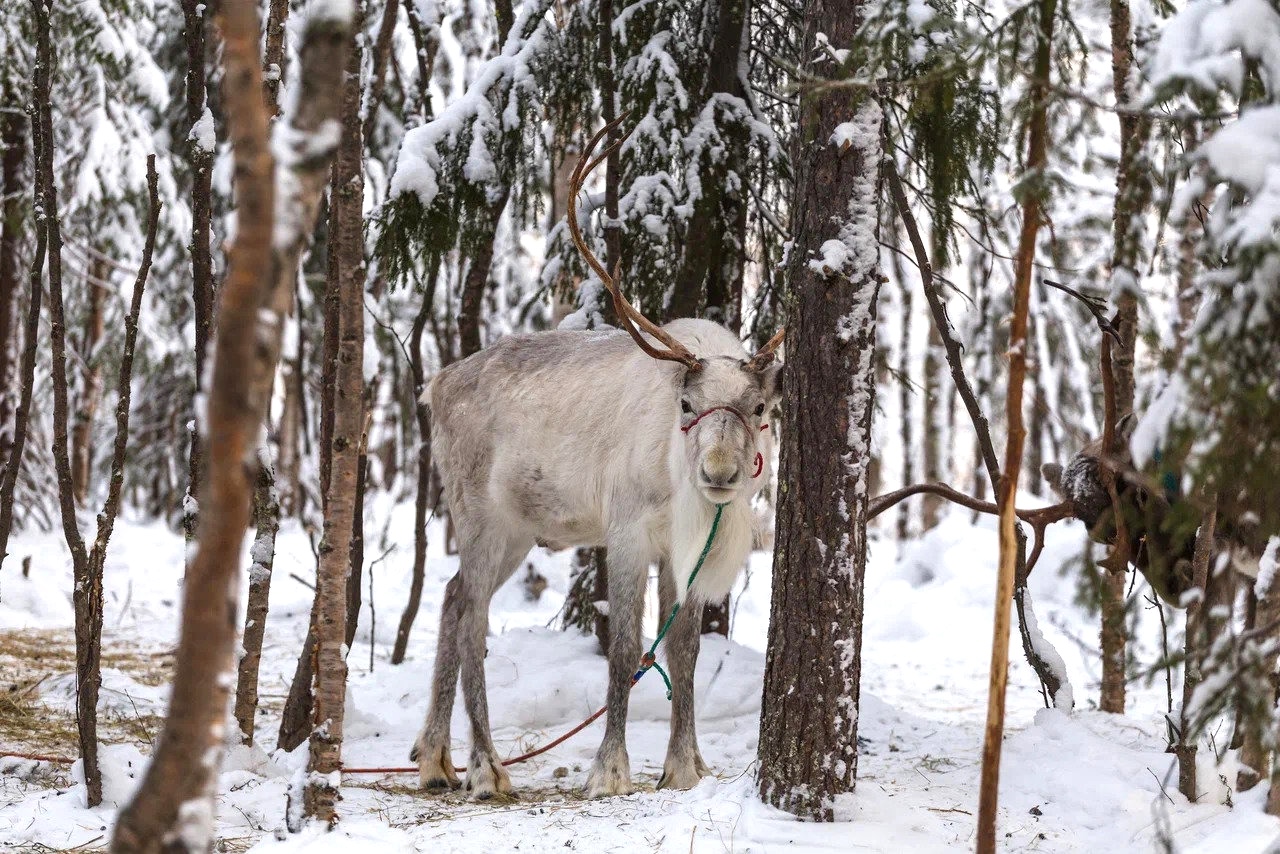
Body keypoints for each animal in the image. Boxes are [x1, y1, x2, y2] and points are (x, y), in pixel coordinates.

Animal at [408, 119, 785, 800]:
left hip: (519, 531)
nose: (718, 475)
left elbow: (683, 648)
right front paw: (609, 770)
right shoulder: (628, 533)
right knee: (472, 616)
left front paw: (684, 766)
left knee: (451, 598)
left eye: (761, 408)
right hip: (480, 517)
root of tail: (437, 385)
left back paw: (433, 758)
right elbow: (626, 647)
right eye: (686, 402)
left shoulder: (680, 547)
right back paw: (486, 767)